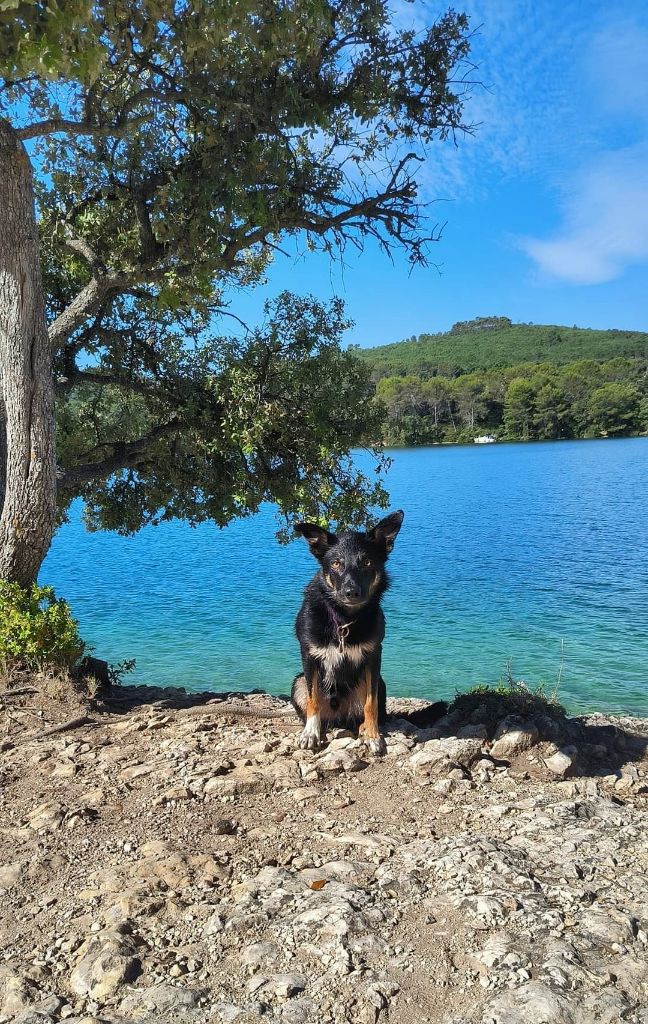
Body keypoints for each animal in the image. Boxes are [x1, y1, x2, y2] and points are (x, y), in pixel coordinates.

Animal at [290, 509, 401, 757]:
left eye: (367, 562)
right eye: (336, 563)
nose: (352, 592)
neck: (343, 619)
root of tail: (338, 715)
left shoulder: (374, 656)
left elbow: (371, 703)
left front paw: (373, 736)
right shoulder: (308, 655)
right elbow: (313, 699)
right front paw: (310, 733)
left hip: (380, 683)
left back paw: (363, 728)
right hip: (298, 682)